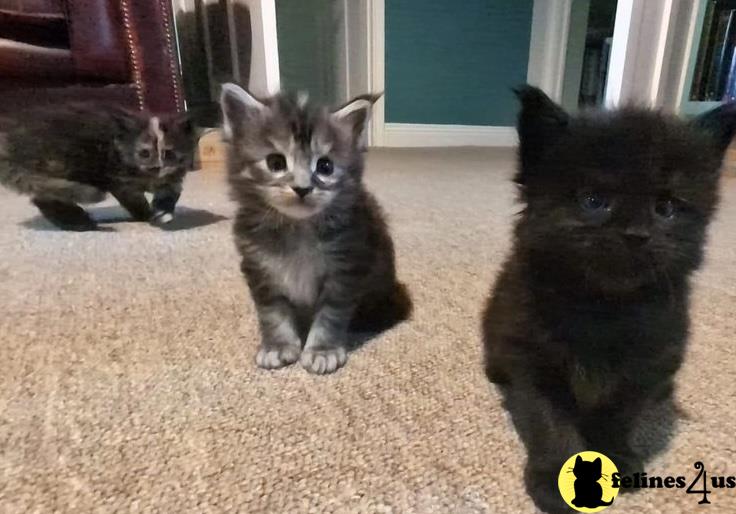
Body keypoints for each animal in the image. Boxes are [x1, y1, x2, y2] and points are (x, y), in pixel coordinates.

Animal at [0, 103, 197, 229]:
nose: (156, 167)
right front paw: (145, 215)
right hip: (64, 163)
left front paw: (163, 212)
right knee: (44, 198)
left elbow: (171, 193)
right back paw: (78, 222)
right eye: (144, 153)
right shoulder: (120, 181)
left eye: (169, 153)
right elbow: (134, 201)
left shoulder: (173, 177)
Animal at [218, 83, 414, 372]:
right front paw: (278, 346)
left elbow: (330, 315)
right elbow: (272, 312)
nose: (302, 188)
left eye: (325, 166)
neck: (298, 229)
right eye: (276, 163)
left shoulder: (345, 267)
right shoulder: (258, 266)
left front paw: (323, 350)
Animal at [484, 86, 736, 510]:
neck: (603, 306)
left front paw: (617, 456)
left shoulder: (647, 366)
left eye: (666, 207)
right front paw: (554, 479)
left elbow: (618, 417)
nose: (636, 234)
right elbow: (550, 424)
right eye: (593, 200)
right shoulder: (534, 363)